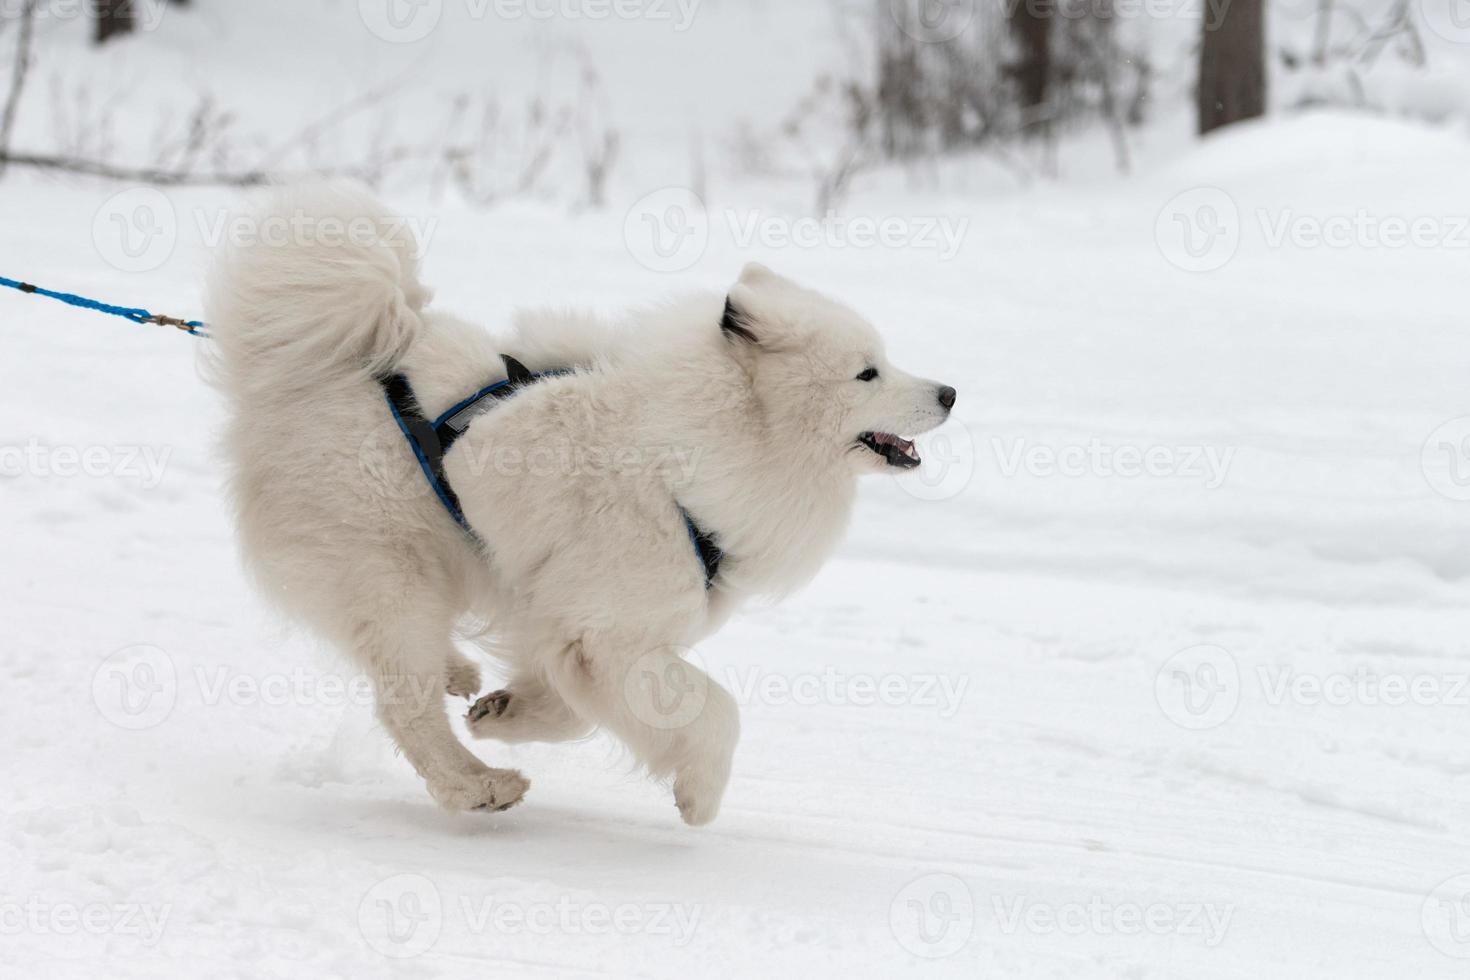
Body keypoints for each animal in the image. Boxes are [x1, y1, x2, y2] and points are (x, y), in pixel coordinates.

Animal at [210, 185, 964, 828]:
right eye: (867, 373)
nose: (952, 392)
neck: (689, 455)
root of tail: (303, 374)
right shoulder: (609, 630)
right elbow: (716, 710)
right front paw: (699, 796)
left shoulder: (569, 618)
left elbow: (574, 708)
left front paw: (504, 711)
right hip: (391, 574)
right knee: (405, 706)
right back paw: (479, 786)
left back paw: (462, 677)